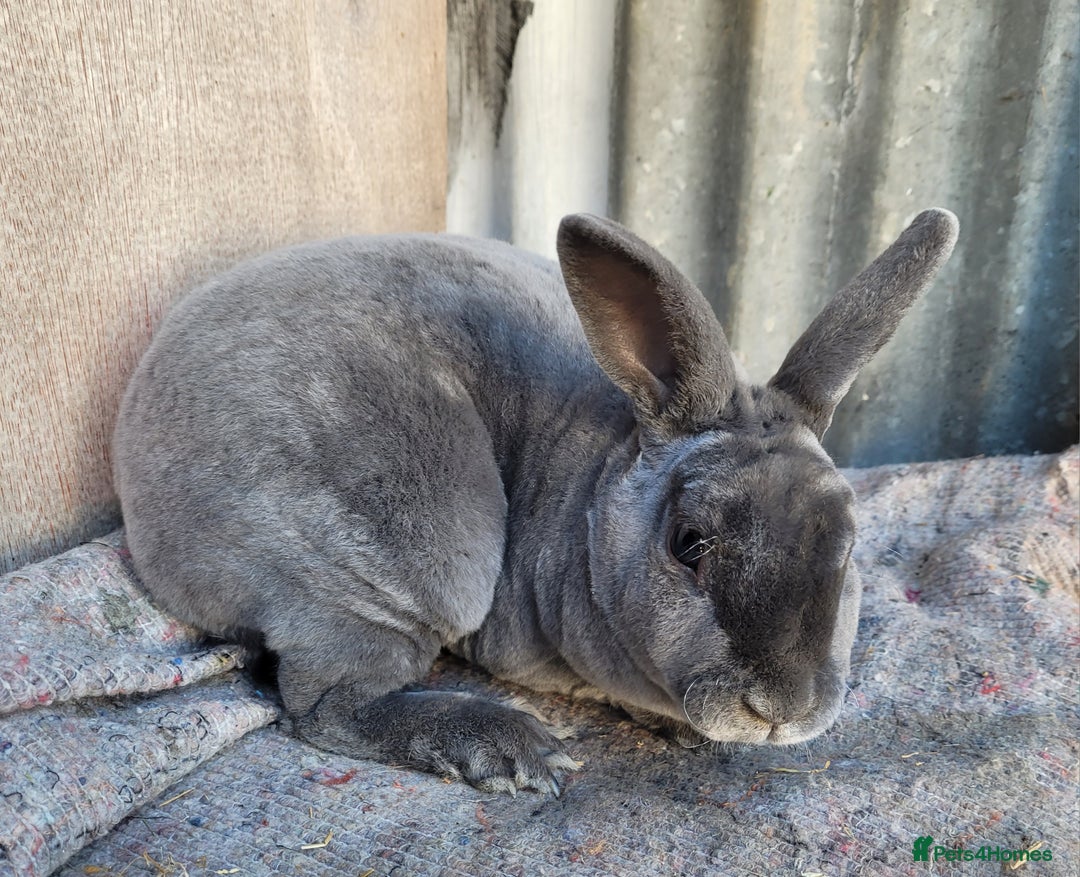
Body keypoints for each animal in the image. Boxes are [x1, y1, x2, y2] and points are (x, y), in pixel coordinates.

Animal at [113, 208, 958, 795]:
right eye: (688, 542)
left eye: (850, 543)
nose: (781, 707)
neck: (586, 499)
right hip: (405, 569)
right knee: (323, 704)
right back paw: (513, 747)